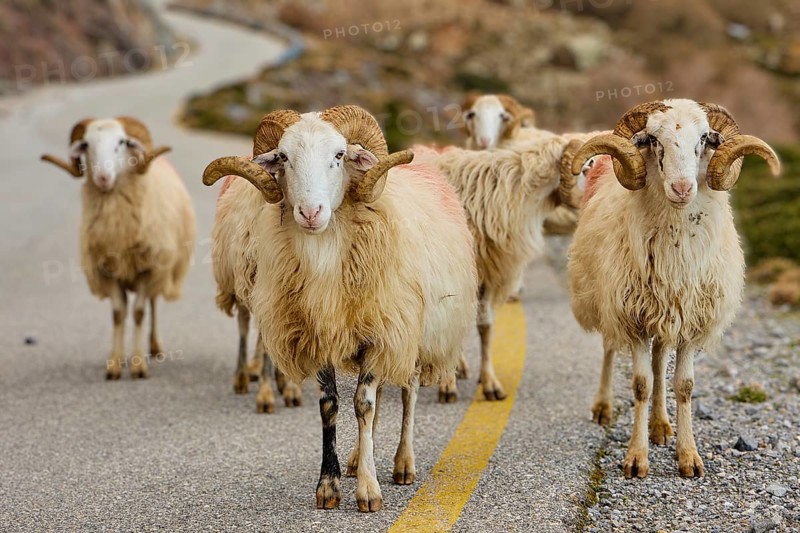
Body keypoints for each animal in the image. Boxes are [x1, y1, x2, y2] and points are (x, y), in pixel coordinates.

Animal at [41, 117, 196, 379]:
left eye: (122, 142)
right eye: (86, 144)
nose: (103, 177)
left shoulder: (147, 268)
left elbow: (139, 312)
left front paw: (138, 366)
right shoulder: (107, 271)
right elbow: (118, 314)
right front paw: (114, 364)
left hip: (160, 266)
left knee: (153, 302)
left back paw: (154, 346)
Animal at [567, 99, 781, 479]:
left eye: (705, 139)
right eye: (653, 140)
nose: (682, 188)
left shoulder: (690, 320)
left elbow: (683, 386)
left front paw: (688, 456)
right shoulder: (632, 318)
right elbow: (640, 384)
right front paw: (636, 458)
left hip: (666, 314)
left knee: (658, 361)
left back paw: (661, 426)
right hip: (606, 301)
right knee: (610, 349)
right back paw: (604, 407)